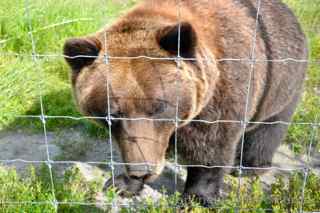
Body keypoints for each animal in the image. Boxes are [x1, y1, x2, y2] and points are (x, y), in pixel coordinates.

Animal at [63, 0, 308, 206]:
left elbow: (210, 150)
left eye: (159, 106)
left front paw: (197, 198)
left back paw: (248, 167)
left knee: (268, 128)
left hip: (281, 82)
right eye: (111, 114)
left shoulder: (221, 94)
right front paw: (122, 183)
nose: (142, 170)